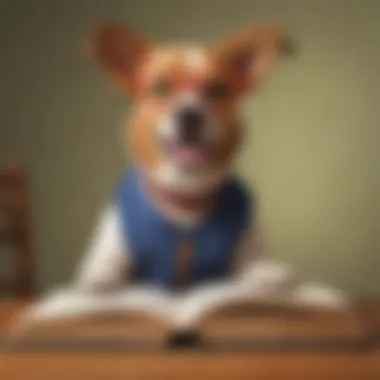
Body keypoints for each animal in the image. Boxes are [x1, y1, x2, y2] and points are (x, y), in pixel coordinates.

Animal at [74, 21, 344, 306]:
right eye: (160, 87)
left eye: (217, 89)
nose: (190, 115)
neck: (187, 198)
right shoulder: (115, 245)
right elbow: (108, 269)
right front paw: (101, 278)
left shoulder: (243, 254)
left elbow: (247, 270)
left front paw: (268, 276)